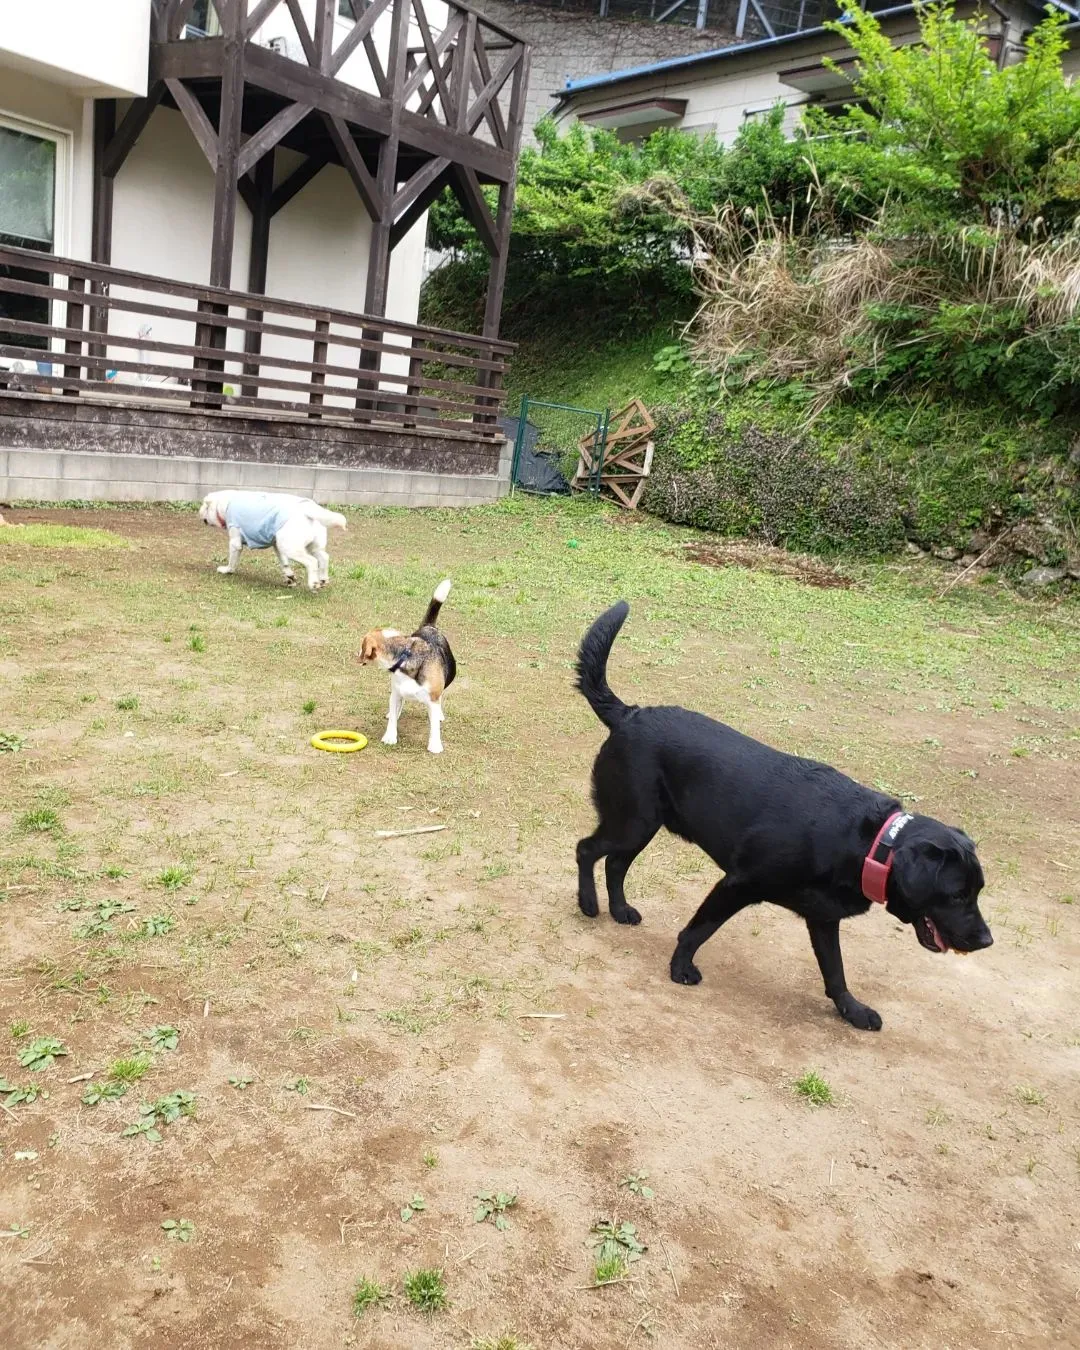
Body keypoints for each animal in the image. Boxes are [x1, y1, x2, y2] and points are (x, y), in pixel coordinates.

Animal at [195, 488, 344, 588]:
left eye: (203, 505)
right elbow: (284, 563)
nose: (199, 512)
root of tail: (307, 509)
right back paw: (323, 579)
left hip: (291, 548)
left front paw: (227, 570)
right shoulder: (277, 545)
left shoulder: (235, 542)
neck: (225, 504)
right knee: (324, 557)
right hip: (308, 545)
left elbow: (232, 562)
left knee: (312, 561)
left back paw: (313, 583)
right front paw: (289, 577)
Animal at [577, 604, 993, 1031]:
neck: (871, 844)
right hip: (633, 822)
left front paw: (852, 1010)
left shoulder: (823, 918)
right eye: (957, 894)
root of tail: (630, 714)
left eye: (977, 891)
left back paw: (620, 910)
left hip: (642, 826)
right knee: (588, 849)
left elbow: (836, 972)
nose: (986, 940)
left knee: (615, 863)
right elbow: (697, 932)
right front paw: (680, 969)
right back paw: (589, 904)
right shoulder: (737, 884)